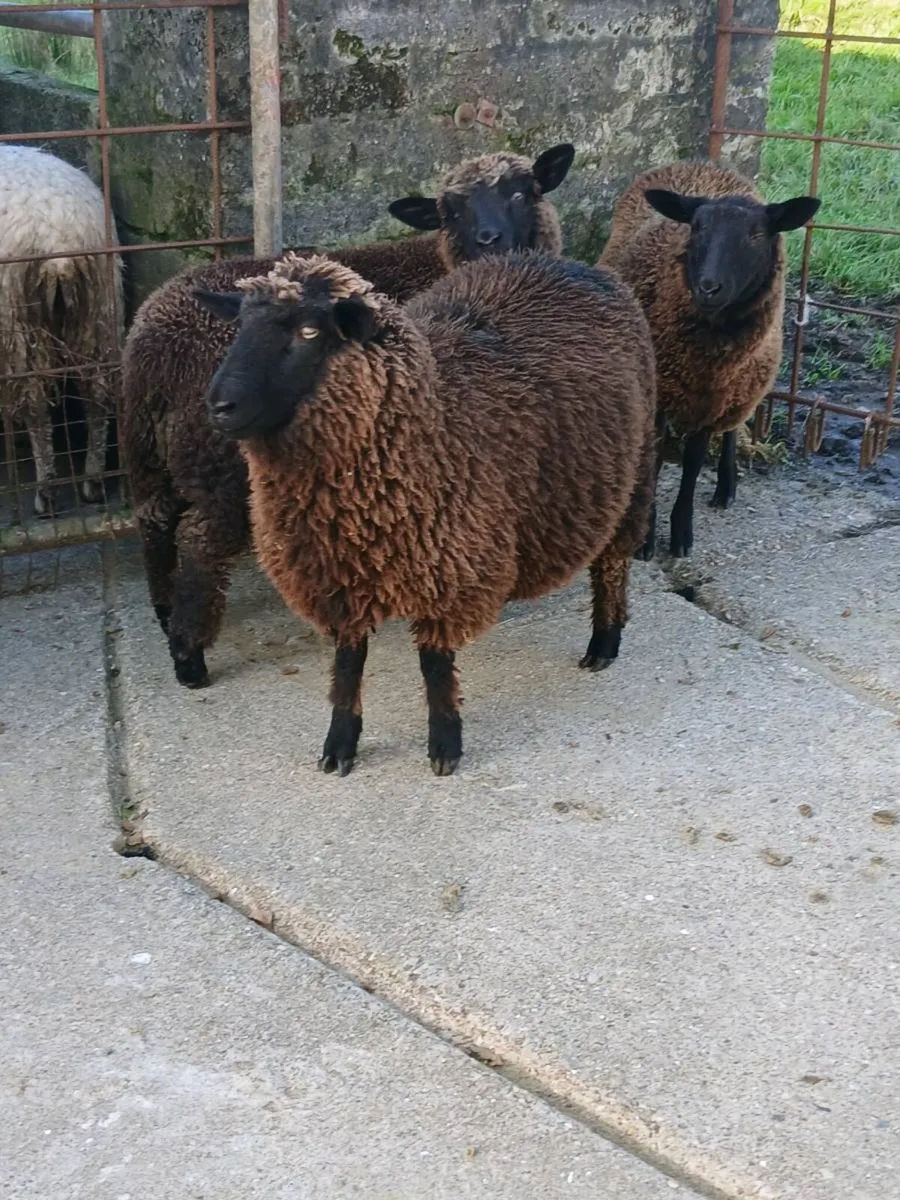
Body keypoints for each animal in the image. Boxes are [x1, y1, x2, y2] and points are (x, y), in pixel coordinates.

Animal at [0, 144, 123, 516]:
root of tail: (58, 238)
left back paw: (46, 491)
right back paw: (93, 481)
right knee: (97, 396)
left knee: (36, 408)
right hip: (100, 310)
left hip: (16, 321)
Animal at [121, 144, 574, 689]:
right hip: (218, 465)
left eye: (523, 191)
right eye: (449, 213)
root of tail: (154, 353)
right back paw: (189, 658)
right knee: (198, 540)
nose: (490, 240)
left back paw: (164, 612)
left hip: (151, 452)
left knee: (154, 521)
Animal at [194, 250, 657, 778]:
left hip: (635, 471)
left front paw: (445, 744)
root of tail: (575, 265)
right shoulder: (339, 576)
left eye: (310, 331)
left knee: (612, 564)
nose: (220, 406)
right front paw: (340, 743)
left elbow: (434, 664)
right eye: (239, 326)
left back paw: (603, 643)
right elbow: (348, 660)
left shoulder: (446, 568)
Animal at [598, 161, 820, 558]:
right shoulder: (662, 394)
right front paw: (646, 538)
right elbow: (657, 460)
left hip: (744, 383)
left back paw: (726, 486)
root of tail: (704, 163)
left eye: (757, 234)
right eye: (698, 227)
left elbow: (692, 464)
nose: (709, 287)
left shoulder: (712, 401)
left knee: (732, 427)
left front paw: (681, 533)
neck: (703, 364)